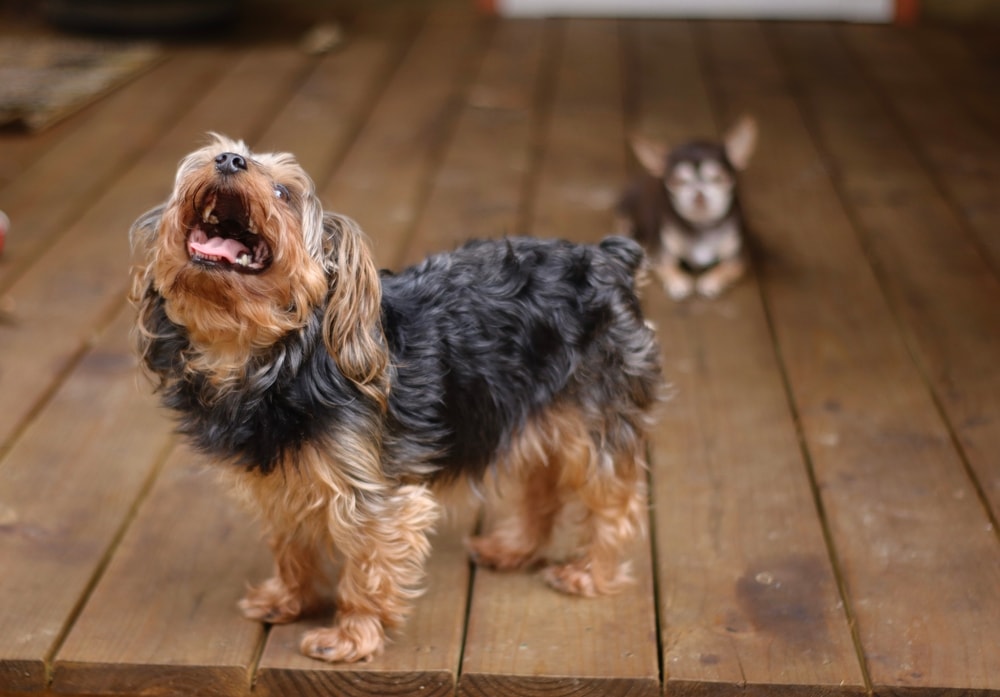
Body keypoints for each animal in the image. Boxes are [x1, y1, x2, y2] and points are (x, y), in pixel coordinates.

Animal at [131, 135, 664, 664]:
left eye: (284, 192)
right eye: (213, 155)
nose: (228, 159)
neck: (267, 356)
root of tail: (610, 258)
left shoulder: (371, 495)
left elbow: (367, 564)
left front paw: (350, 636)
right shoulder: (281, 481)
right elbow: (291, 543)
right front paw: (288, 599)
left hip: (596, 412)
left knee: (612, 499)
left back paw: (588, 574)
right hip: (532, 407)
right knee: (542, 483)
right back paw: (513, 549)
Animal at [616, 114, 756, 300]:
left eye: (718, 178)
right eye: (678, 182)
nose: (699, 194)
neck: (702, 225)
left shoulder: (738, 259)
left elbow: (726, 268)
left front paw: (711, 281)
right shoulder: (660, 255)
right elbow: (668, 267)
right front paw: (678, 282)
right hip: (626, 206)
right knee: (623, 221)